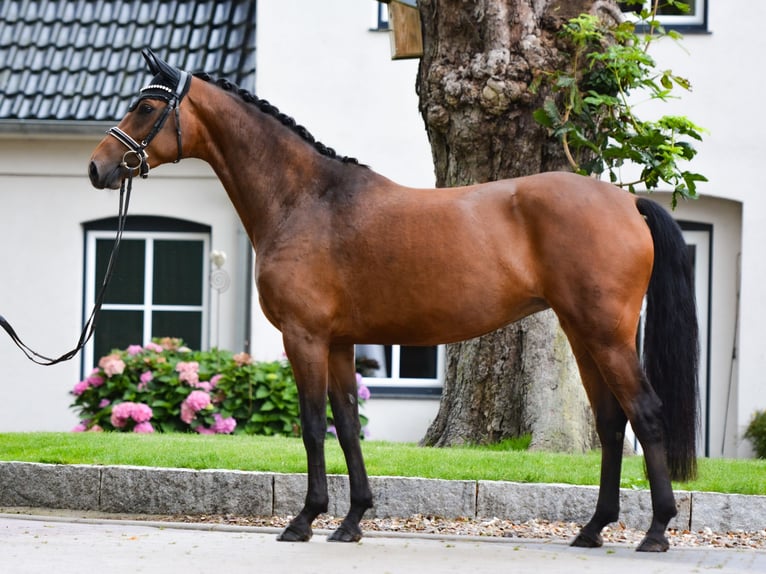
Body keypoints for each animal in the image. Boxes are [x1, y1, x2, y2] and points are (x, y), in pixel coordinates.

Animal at [87, 50, 700, 552]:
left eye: (146, 106)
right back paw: (593, 529)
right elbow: (346, 424)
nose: (98, 167)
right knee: (611, 422)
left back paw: (655, 531)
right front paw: (352, 520)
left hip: (606, 335)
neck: (305, 199)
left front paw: (304, 521)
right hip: (582, 334)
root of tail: (626, 203)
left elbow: (312, 426)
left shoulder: (304, 337)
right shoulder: (338, 343)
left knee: (645, 413)